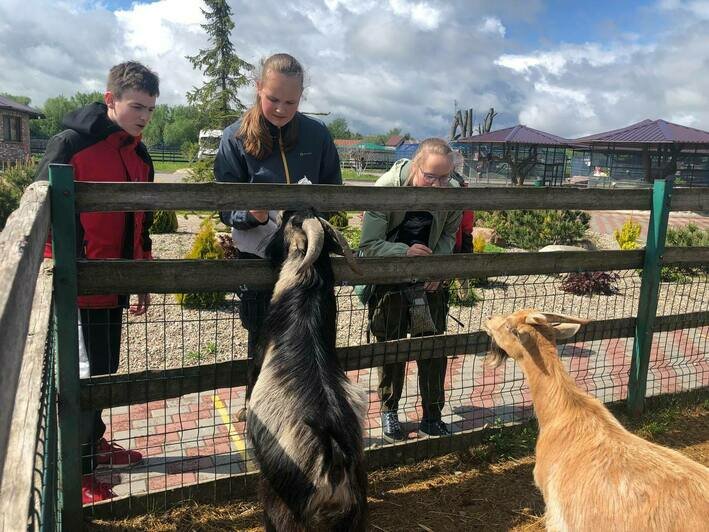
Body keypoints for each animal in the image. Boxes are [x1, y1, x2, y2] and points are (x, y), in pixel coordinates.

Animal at [246, 212, 368, 532]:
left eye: (286, 223)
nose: (267, 251)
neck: (306, 293)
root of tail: (333, 458)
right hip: (355, 514)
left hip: (282, 502)